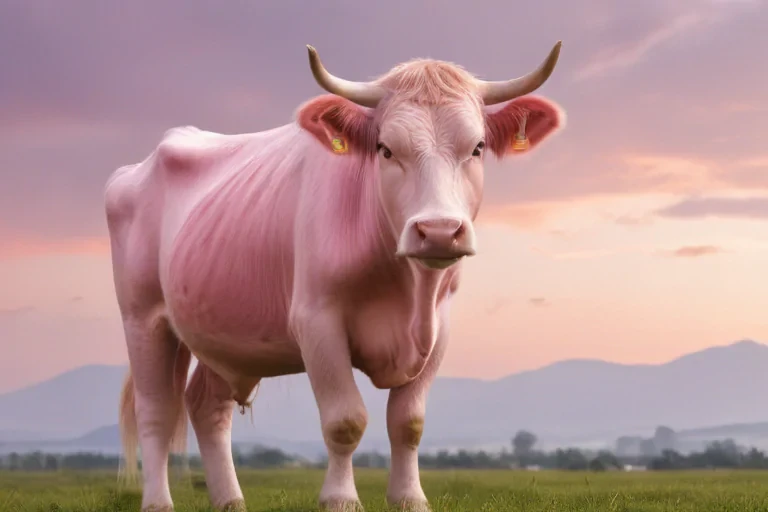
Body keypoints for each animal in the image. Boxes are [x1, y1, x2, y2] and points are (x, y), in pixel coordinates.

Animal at [107, 42, 565, 512]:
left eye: (476, 147)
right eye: (385, 149)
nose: (438, 230)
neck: (406, 288)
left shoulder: (440, 329)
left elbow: (408, 423)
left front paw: (409, 497)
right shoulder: (316, 321)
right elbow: (345, 420)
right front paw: (341, 498)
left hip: (223, 334)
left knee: (206, 407)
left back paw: (230, 500)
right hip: (143, 319)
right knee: (156, 411)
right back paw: (158, 502)